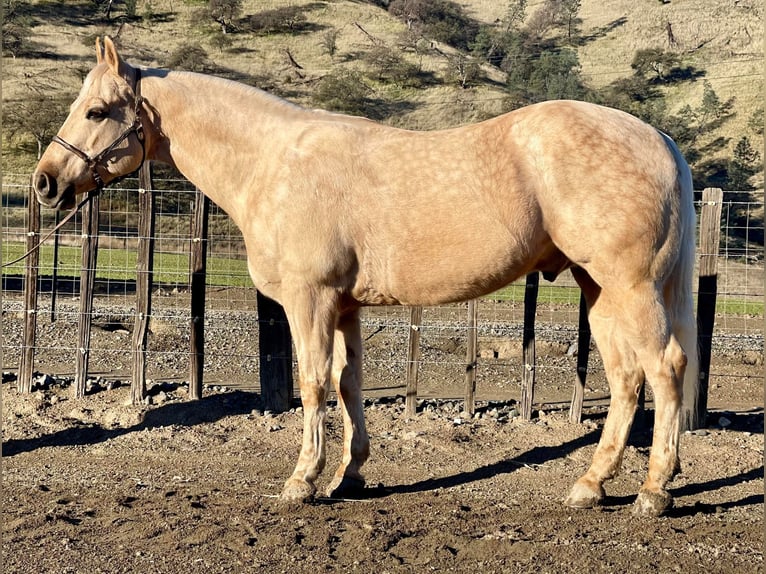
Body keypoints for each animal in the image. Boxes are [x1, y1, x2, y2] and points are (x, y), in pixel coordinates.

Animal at [33, 38, 700, 520]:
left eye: (96, 111)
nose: (46, 182)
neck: (272, 163)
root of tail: (660, 139)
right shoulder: (345, 306)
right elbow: (348, 383)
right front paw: (348, 475)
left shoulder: (310, 300)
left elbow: (311, 383)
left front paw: (302, 480)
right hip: (600, 291)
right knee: (626, 379)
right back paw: (591, 484)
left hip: (632, 288)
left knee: (664, 367)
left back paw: (654, 491)